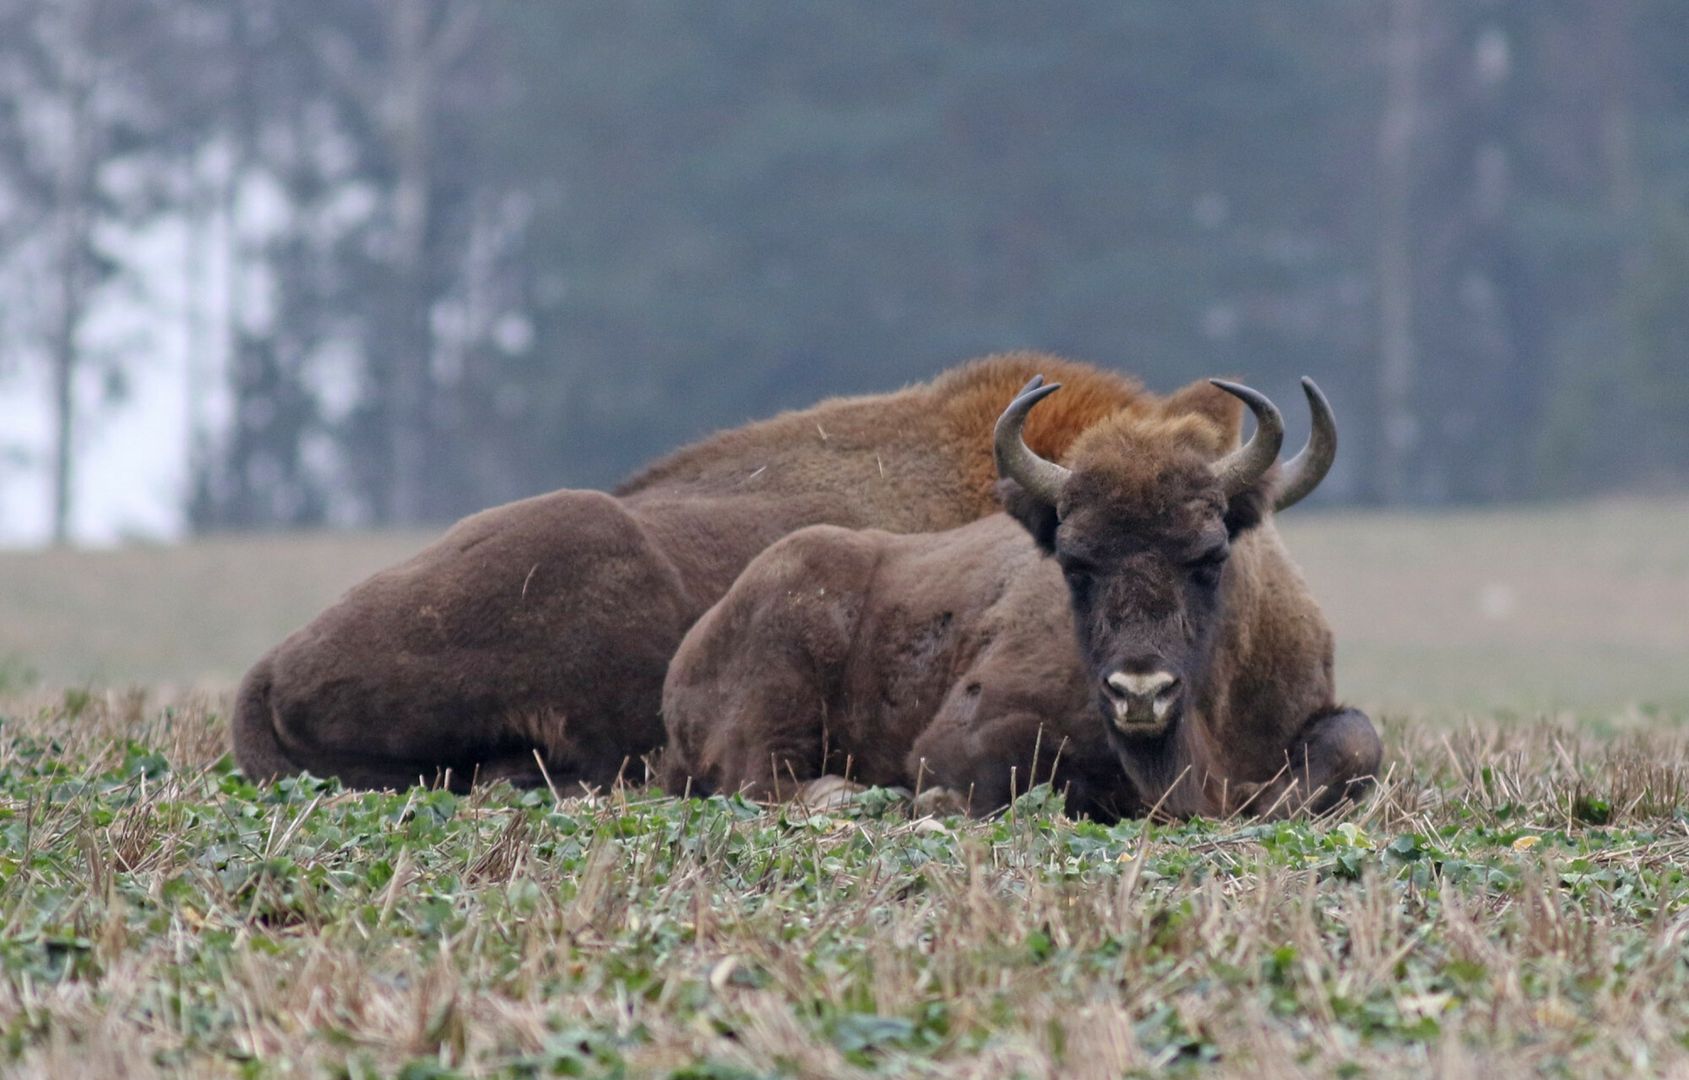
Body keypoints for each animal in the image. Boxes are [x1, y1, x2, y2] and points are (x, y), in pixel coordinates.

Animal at [658, 373, 1384, 818]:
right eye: (1074, 562)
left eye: (1209, 556)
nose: (1139, 692)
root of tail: (696, 643)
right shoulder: (968, 733)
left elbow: (1355, 743)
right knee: (760, 777)